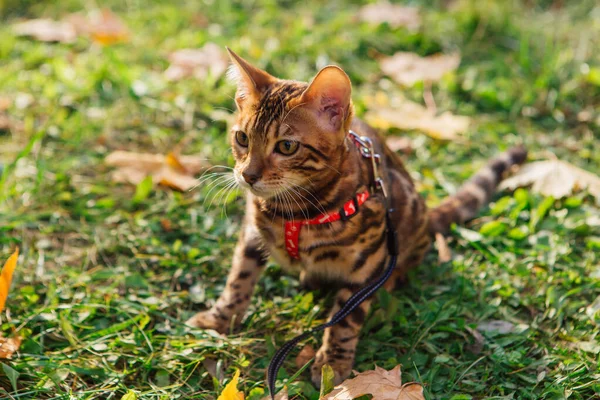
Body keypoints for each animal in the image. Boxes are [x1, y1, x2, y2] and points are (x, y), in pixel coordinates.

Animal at [186, 48, 524, 386]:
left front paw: (332, 363)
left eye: (286, 146)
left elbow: (345, 318)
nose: (247, 175)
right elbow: (238, 278)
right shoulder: (252, 233)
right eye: (242, 138)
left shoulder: (369, 263)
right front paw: (220, 317)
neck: (293, 210)